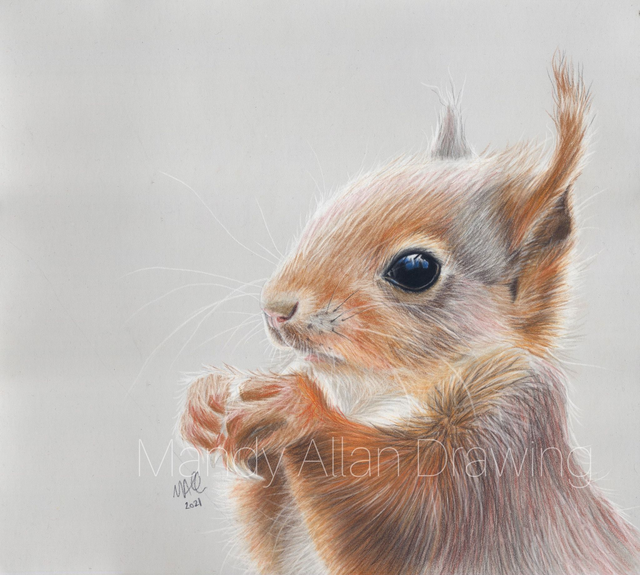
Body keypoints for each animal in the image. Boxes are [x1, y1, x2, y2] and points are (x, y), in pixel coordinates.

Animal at [180, 56, 640, 575]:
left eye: (415, 269)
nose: (275, 309)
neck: (374, 392)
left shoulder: (500, 444)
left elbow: (401, 508)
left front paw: (297, 409)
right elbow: (266, 525)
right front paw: (207, 398)